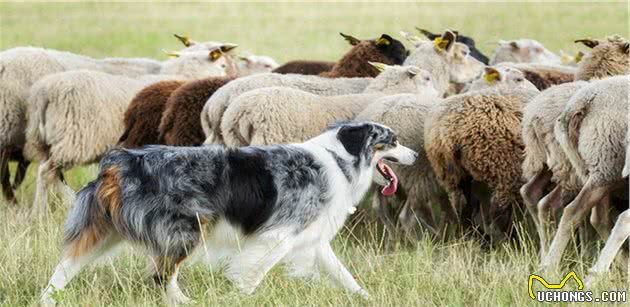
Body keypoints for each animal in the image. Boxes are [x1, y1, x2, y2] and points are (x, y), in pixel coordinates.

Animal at [22, 50, 235, 214]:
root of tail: (43, 93)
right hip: (74, 140)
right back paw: (39, 213)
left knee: (51, 172)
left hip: (48, 142)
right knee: (46, 172)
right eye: (223, 64)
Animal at [40, 122, 420, 306]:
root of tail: (120, 161)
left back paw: (48, 300)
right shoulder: (279, 235)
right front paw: (238, 295)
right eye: (392, 140)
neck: (340, 158)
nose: (417, 155)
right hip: (187, 229)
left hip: (105, 231)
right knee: (162, 275)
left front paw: (367, 299)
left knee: (65, 266)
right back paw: (184, 302)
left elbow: (344, 275)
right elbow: (253, 272)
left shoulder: (312, 238)